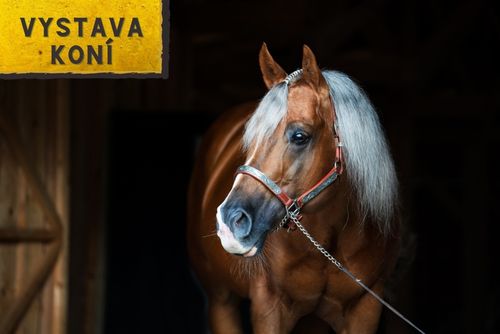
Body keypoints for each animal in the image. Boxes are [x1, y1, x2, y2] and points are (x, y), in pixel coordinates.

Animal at [186, 45, 404, 334]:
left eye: (300, 136)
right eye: (249, 140)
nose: (230, 222)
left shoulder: (366, 308)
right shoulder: (269, 309)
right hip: (221, 301)